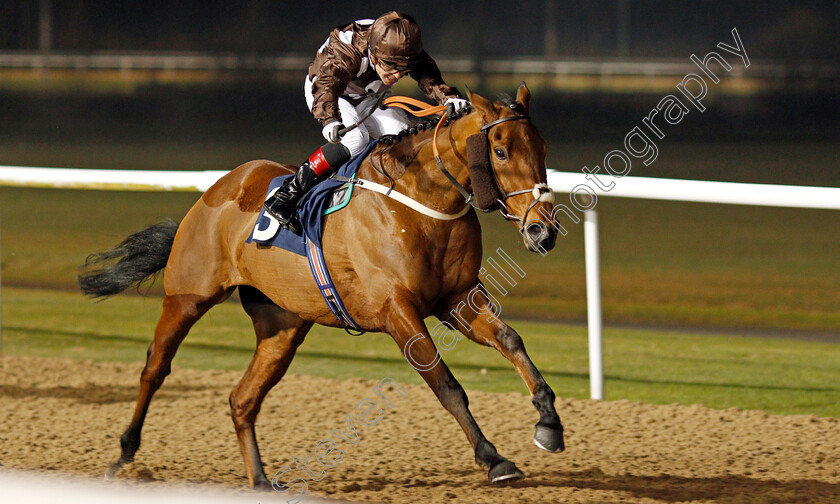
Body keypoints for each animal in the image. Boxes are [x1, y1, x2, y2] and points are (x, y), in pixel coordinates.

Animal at [80, 83, 564, 488]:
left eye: (542, 147)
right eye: (500, 151)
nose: (543, 231)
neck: (421, 201)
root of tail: (213, 193)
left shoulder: (456, 297)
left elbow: (511, 340)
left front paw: (548, 423)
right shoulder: (398, 311)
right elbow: (446, 384)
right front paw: (493, 457)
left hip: (282, 327)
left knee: (242, 399)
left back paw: (260, 481)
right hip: (187, 297)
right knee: (155, 367)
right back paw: (124, 455)